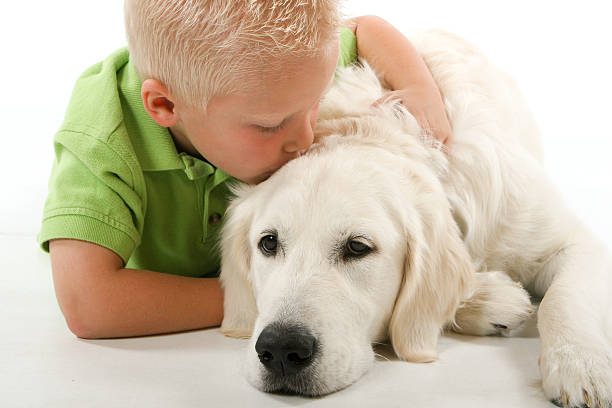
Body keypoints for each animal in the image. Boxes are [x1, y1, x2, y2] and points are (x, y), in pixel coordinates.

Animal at [218, 30, 608, 406]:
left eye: (358, 247)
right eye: (268, 243)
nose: (281, 349)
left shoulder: (567, 240)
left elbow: (563, 299)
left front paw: (580, 363)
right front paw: (489, 299)